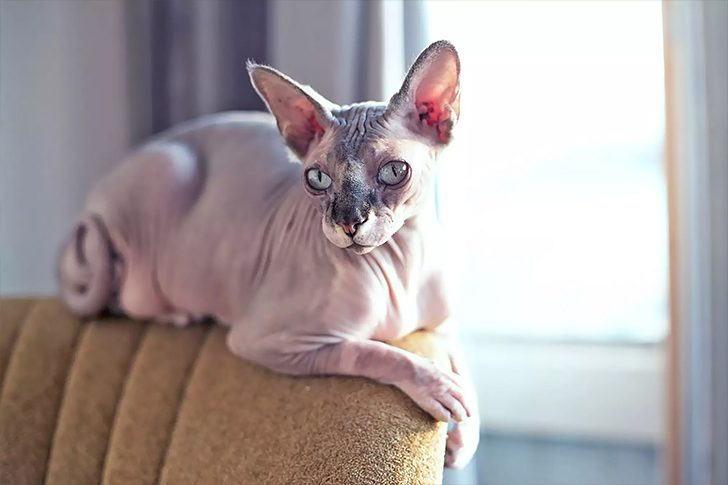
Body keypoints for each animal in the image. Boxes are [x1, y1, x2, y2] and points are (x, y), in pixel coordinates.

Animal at [58, 40, 479, 468]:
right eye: (317, 179)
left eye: (394, 172)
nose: (348, 222)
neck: (402, 259)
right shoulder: (271, 340)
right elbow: (373, 352)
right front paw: (438, 385)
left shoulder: (442, 326)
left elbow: (464, 365)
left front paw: (464, 435)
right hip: (169, 172)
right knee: (127, 297)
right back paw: (178, 313)